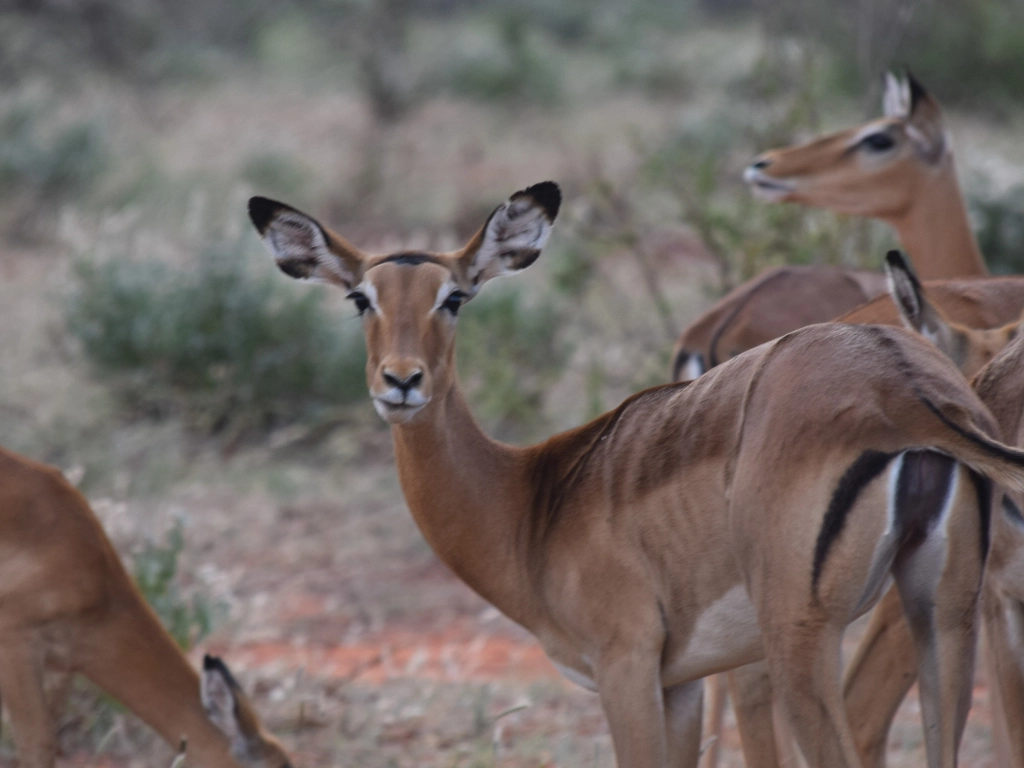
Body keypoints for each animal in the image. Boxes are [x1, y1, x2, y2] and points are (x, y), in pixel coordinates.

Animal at [250, 182, 1024, 767]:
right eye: (361, 298)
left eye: (454, 297)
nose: (401, 381)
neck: (533, 502)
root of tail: (903, 388)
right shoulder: (680, 686)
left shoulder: (625, 669)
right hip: (943, 616)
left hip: (803, 639)